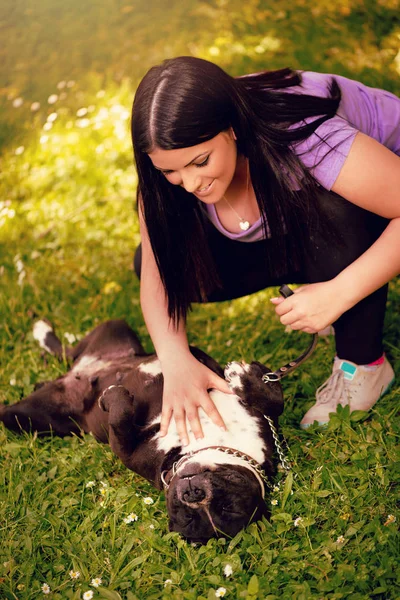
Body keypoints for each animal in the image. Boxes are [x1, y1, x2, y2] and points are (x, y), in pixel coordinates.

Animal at [0, 318, 316, 544]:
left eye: (227, 508)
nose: (193, 495)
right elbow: (274, 399)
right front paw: (244, 376)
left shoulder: (126, 449)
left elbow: (119, 418)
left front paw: (114, 396)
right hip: (116, 327)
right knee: (69, 352)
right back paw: (45, 334)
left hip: (23, 417)